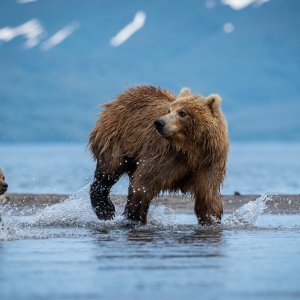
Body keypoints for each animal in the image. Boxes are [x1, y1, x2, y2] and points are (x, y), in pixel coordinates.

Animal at [88, 85, 229, 224]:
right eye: (169, 110)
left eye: (182, 113)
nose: (159, 123)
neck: (190, 150)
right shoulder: (164, 157)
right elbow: (143, 186)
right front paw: (135, 218)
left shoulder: (208, 162)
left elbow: (207, 196)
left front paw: (211, 220)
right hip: (117, 139)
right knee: (108, 171)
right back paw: (105, 210)